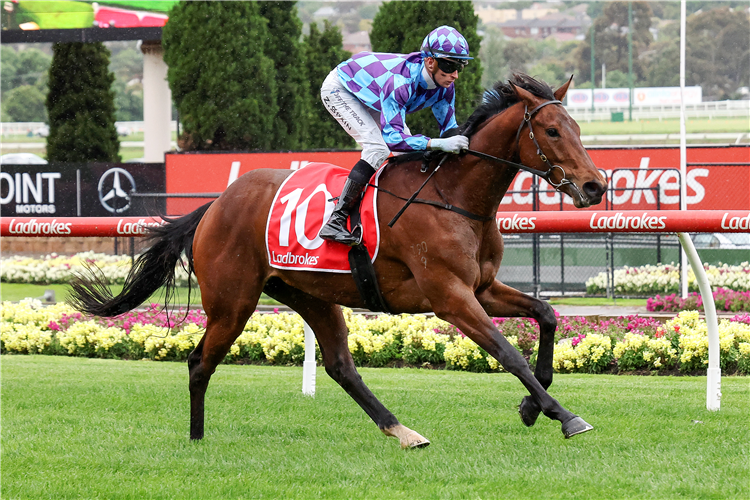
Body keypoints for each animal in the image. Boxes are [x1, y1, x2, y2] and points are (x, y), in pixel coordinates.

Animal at [69, 73, 612, 450]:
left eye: (577, 128)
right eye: (551, 130)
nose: (594, 186)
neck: (454, 197)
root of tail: (214, 205)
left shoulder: (482, 288)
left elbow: (546, 314)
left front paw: (530, 406)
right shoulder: (450, 296)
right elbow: (507, 352)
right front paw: (563, 415)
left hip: (310, 295)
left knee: (340, 367)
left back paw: (402, 431)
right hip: (232, 301)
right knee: (201, 360)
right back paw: (197, 438)